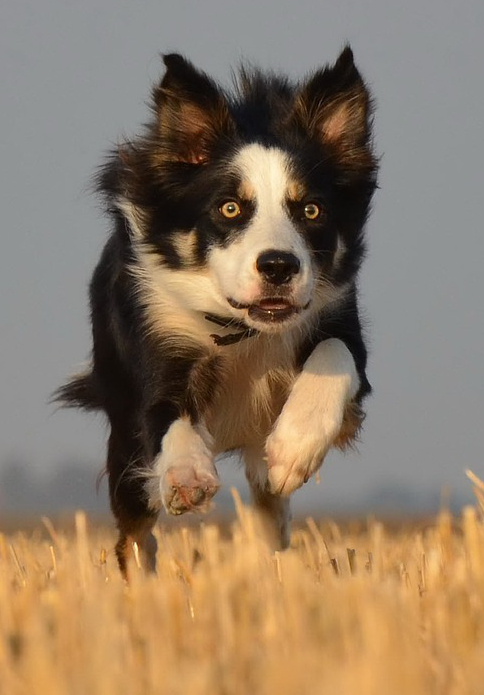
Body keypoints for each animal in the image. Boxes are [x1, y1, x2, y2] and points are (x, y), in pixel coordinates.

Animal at [54, 44, 378, 576]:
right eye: (229, 208)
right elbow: (167, 414)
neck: (242, 328)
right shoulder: (158, 338)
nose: (279, 266)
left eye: (311, 210)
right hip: (122, 442)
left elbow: (336, 355)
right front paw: (187, 475)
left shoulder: (335, 316)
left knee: (269, 504)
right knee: (134, 533)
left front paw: (294, 448)